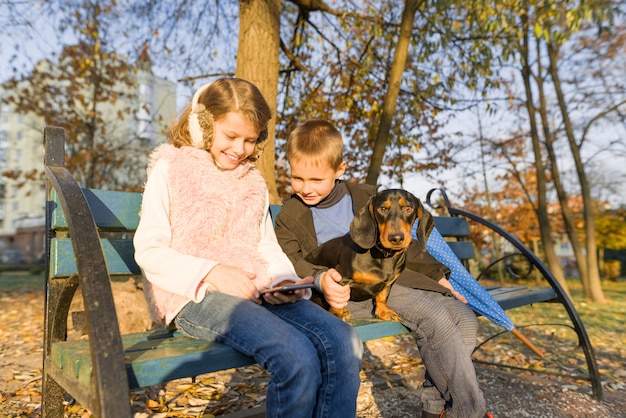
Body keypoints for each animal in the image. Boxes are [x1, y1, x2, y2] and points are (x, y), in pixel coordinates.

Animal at [304, 188, 416, 322]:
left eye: (408, 208)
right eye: (382, 209)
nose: (397, 238)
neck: (384, 255)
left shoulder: (388, 284)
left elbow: (382, 296)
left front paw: (384, 311)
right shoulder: (341, 276)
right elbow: (337, 297)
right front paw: (337, 312)